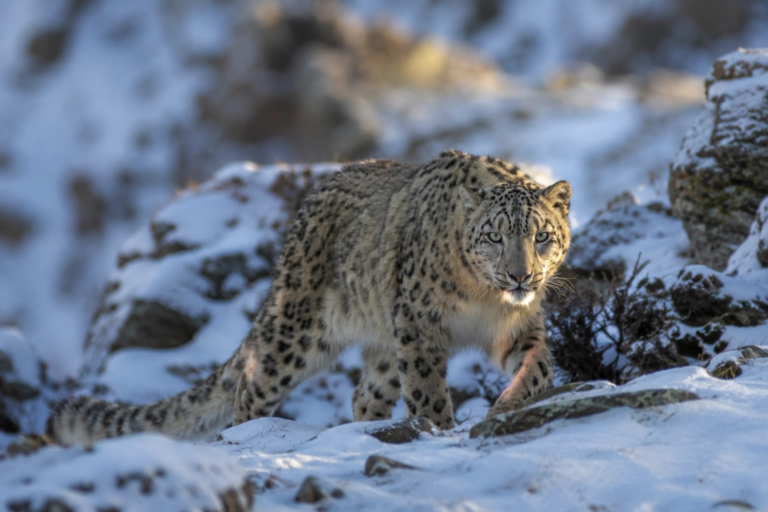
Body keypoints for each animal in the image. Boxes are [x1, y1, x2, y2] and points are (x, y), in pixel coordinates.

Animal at [46, 150, 572, 446]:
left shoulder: (520, 326)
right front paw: (440, 428)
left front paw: (508, 405)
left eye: (542, 236)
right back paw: (246, 435)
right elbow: (426, 389)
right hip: (300, 333)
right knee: (252, 384)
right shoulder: (420, 328)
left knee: (365, 393)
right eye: (494, 236)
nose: (520, 275)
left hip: (383, 343)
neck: (488, 303)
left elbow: (539, 365)